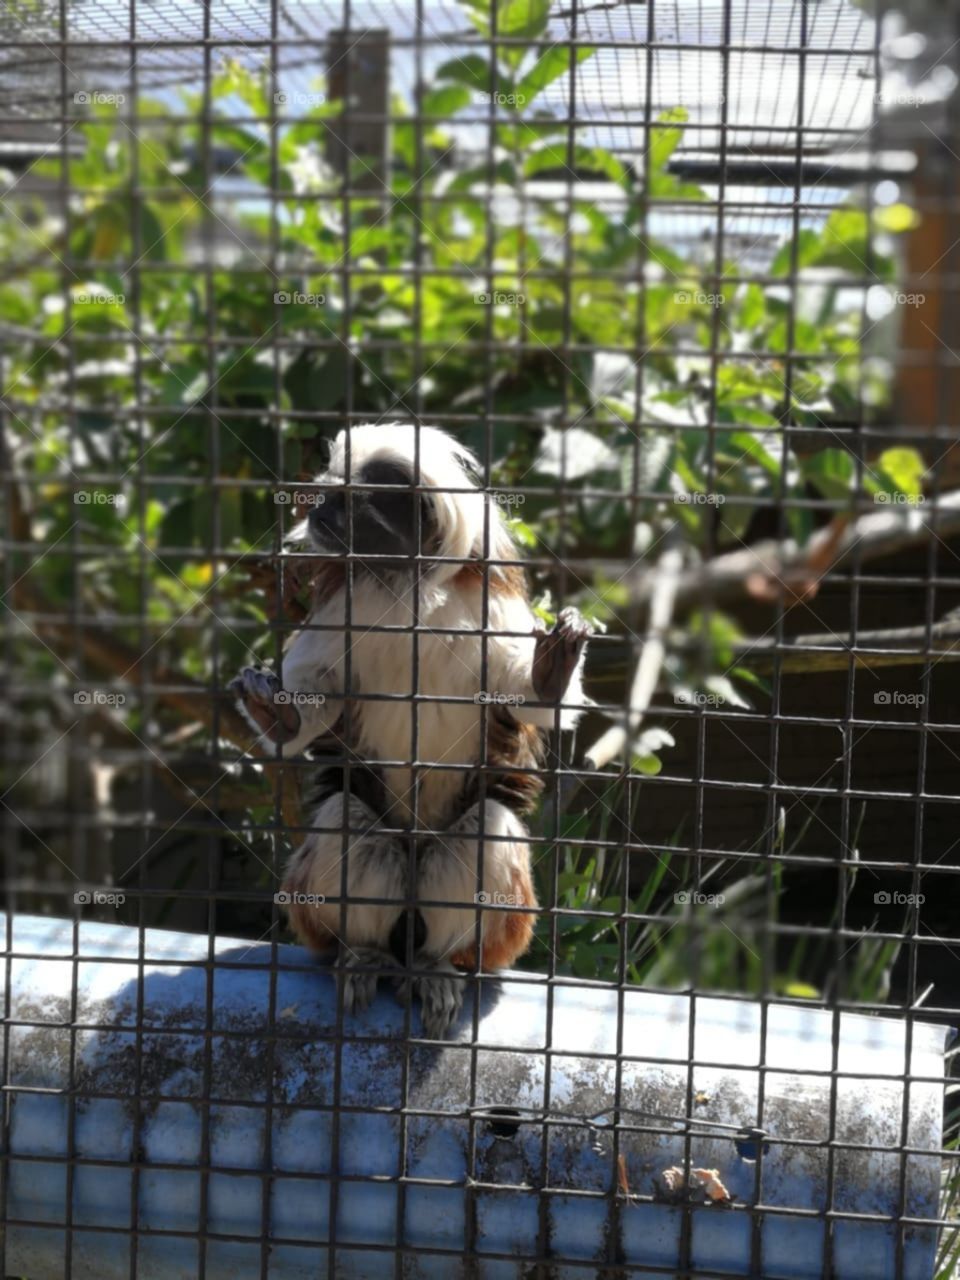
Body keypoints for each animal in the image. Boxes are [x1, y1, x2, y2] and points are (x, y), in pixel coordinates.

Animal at [230, 424, 591, 1037]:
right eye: (324, 496)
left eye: (344, 502)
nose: (317, 513)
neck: (403, 585)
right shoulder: (340, 603)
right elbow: (318, 699)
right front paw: (280, 715)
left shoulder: (488, 599)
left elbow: (529, 699)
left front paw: (551, 673)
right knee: (350, 821)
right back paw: (366, 954)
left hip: (499, 931)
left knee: (482, 830)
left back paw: (434, 965)